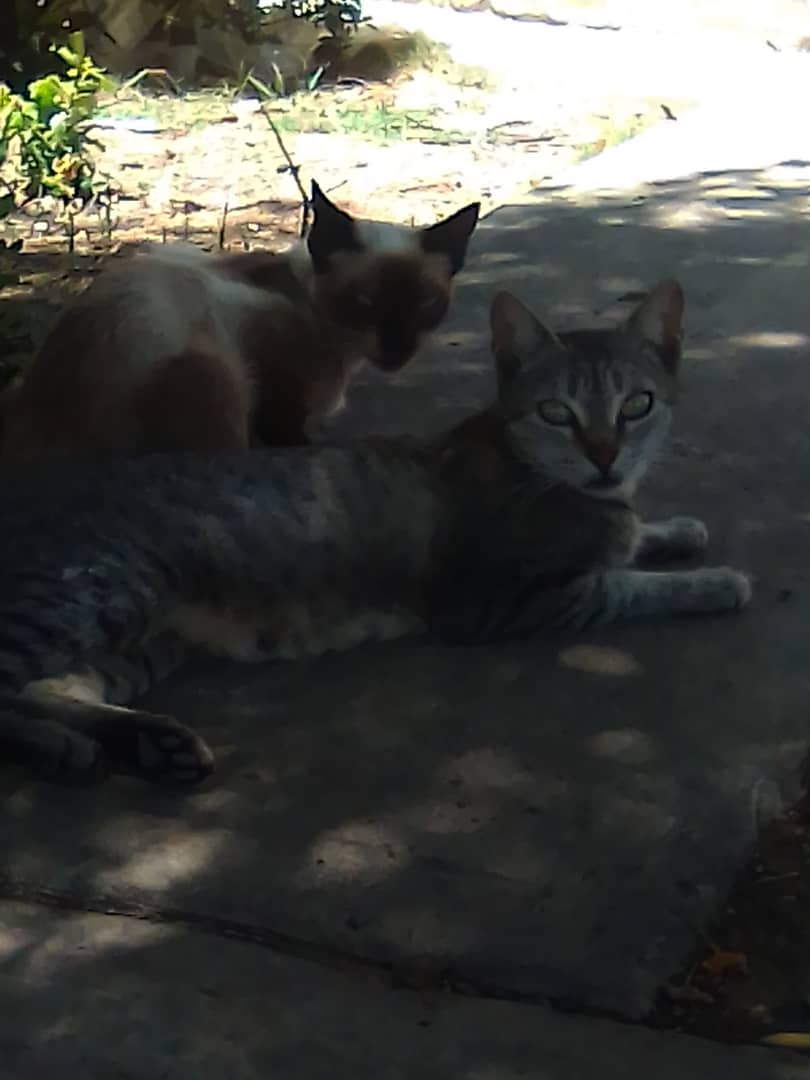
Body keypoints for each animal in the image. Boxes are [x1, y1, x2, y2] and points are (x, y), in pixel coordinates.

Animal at [0, 279, 750, 786]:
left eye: (637, 405)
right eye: (557, 413)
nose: (604, 456)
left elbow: (634, 537)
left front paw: (674, 528)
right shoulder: (496, 600)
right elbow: (624, 585)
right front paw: (713, 582)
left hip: (142, 642)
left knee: (43, 690)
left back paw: (127, 743)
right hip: (97, 595)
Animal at [1, 180, 480, 470]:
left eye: (425, 303)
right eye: (364, 303)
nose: (398, 348)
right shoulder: (277, 408)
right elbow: (289, 436)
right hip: (212, 377)